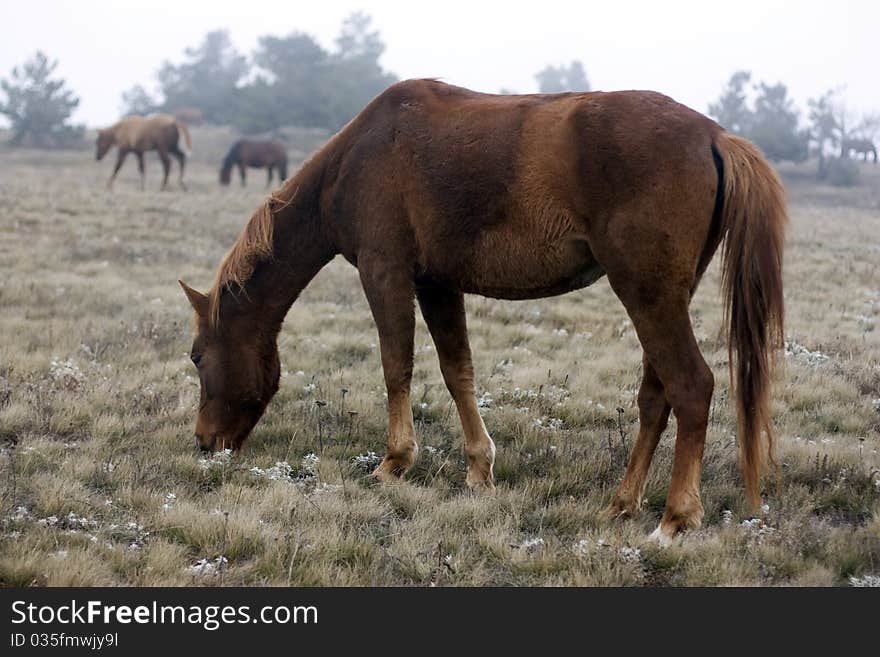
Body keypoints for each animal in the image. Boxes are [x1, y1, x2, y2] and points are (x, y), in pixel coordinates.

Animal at [177, 78, 784, 540]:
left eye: (196, 356)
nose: (204, 442)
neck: (358, 156)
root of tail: (716, 136)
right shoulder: (437, 284)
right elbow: (457, 372)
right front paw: (478, 469)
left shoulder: (385, 271)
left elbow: (396, 366)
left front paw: (395, 462)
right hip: (662, 297)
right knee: (656, 397)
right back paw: (622, 501)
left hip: (647, 295)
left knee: (691, 386)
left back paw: (676, 517)